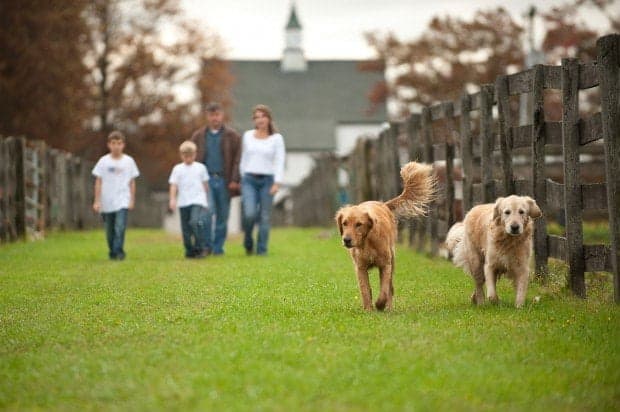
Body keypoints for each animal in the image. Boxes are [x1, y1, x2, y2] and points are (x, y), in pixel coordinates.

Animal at [336, 163, 434, 310]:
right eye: (344, 223)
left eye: (359, 224)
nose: (346, 240)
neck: (367, 242)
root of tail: (383, 204)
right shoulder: (360, 268)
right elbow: (365, 289)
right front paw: (368, 310)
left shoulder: (385, 265)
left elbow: (384, 289)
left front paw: (380, 305)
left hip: (392, 259)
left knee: (390, 288)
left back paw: (388, 308)